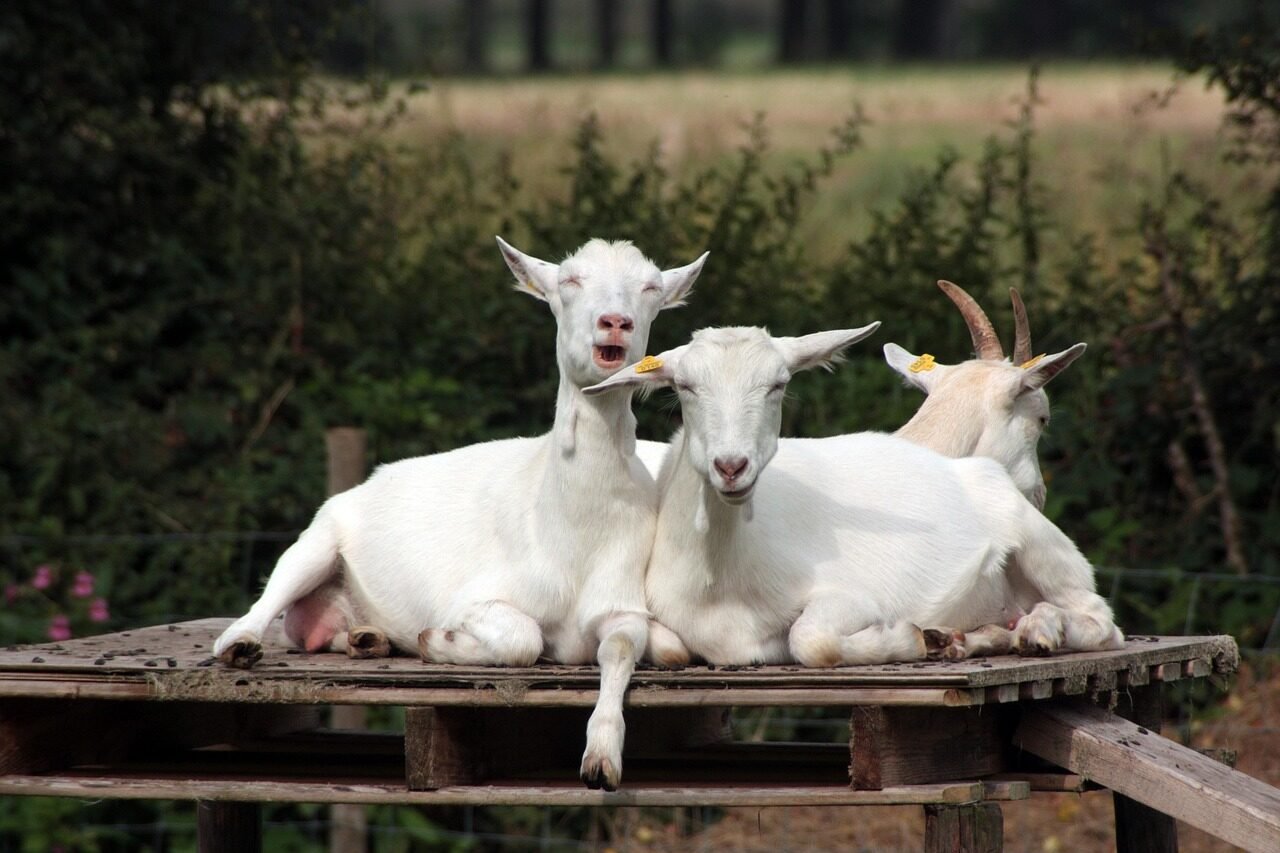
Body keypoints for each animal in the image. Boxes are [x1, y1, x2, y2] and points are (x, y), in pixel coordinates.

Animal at [213, 237, 708, 790]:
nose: (615, 322)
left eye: (651, 288)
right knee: (271, 595)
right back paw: (241, 644)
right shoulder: (471, 596)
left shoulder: (620, 599)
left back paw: (366, 639)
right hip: (320, 536)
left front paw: (601, 758)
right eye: (568, 281)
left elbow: (626, 650)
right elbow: (522, 639)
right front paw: (439, 640)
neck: (569, 533)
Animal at [585, 326, 1123, 667]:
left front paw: (907, 637)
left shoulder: (852, 595)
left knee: (1101, 619)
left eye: (779, 384)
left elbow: (810, 640)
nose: (732, 466)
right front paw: (934, 638)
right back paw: (978, 637)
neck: (723, 579)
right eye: (684, 386)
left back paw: (1038, 630)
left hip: (1041, 546)